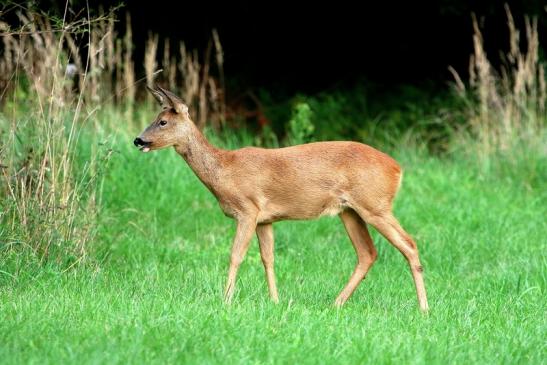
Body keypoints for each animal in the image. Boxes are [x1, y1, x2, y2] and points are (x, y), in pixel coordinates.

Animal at [135, 85, 430, 310]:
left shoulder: (248, 209)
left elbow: (236, 255)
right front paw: (275, 301)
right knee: (368, 253)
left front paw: (226, 301)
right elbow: (268, 258)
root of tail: (397, 169)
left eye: (162, 122)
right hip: (350, 211)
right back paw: (336, 303)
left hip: (375, 204)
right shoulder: (266, 219)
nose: (138, 140)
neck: (225, 171)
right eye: (155, 118)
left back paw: (423, 308)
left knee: (409, 244)